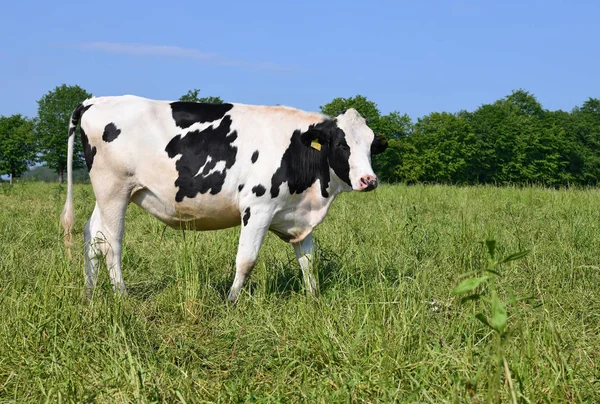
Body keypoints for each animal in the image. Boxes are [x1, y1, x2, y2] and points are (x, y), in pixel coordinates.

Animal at [59, 95, 390, 304]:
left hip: (108, 194)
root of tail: (96, 100)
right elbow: (246, 260)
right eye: (341, 144)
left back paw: (90, 293)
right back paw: (121, 296)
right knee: (111, 242)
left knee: (93, 235)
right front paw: (231, 301)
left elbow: (308, 261)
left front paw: (314, 299)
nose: (369, 180)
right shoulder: (258, 208)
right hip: (114, 189)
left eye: (371, 144)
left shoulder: (297, 215)